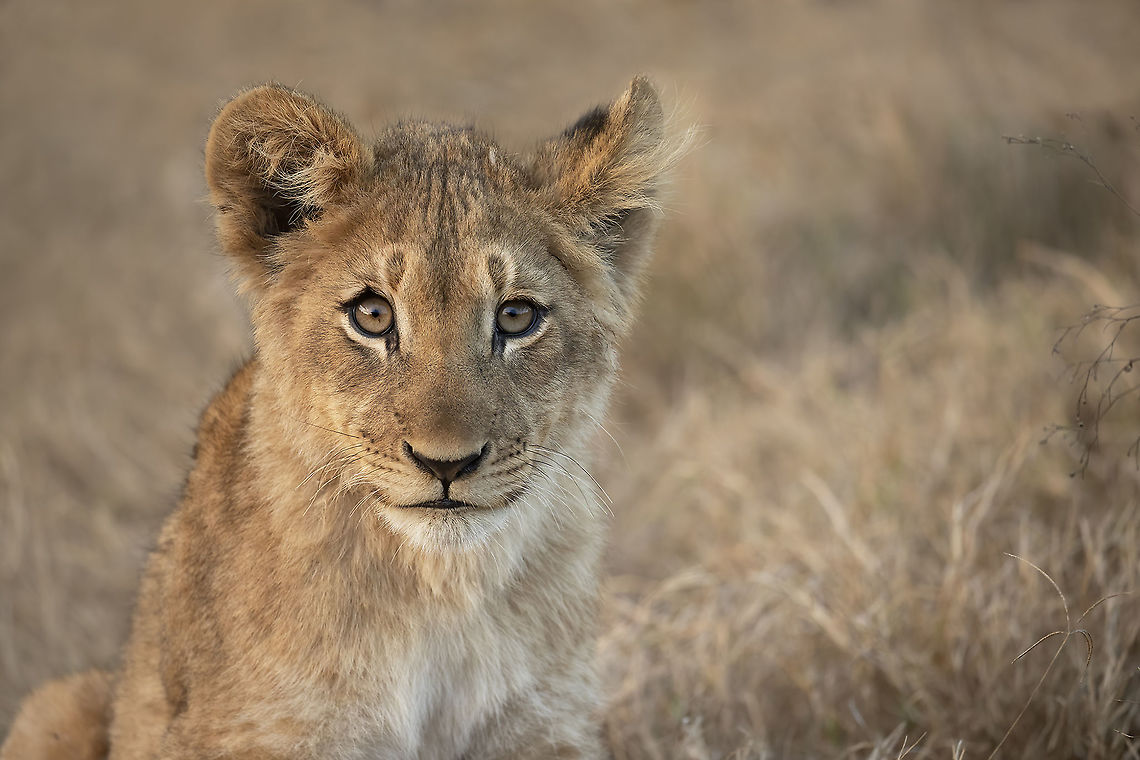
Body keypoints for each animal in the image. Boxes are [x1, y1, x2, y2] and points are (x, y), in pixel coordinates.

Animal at [2, 77, 679, 759]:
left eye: (516, 317)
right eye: (372, 315)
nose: (447, 463)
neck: (440, 589)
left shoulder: (544, 725)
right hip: (58, 702)